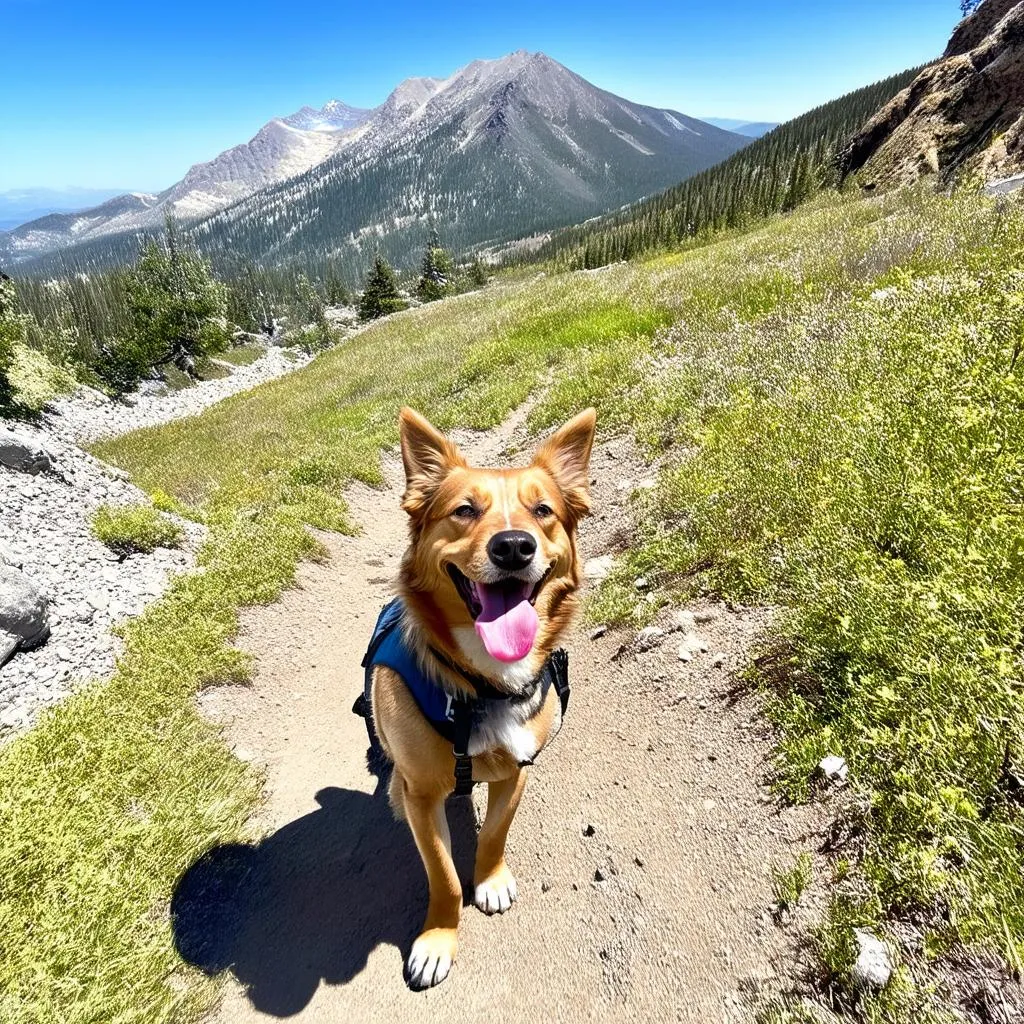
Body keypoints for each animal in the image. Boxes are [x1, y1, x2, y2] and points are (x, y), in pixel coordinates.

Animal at [364, 403, 598, 987]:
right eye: (464, 511)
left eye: (543, 510)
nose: (513, 545)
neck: (482, 685)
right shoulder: (422, 796)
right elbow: (444, 876)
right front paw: (437, 942)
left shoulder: (516, 770)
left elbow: (493, 834)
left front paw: (489, 880)